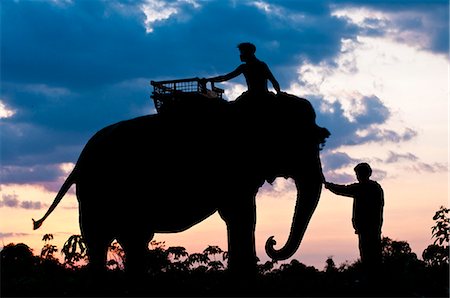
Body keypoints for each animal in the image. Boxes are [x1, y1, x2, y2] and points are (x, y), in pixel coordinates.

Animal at [33, 91, 330, 278]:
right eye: (304, 141)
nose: (272, 241)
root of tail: (78, 161)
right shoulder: (231, 168)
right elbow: (240, 215)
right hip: (96, 190)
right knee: (100, 239)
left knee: (133, 239)